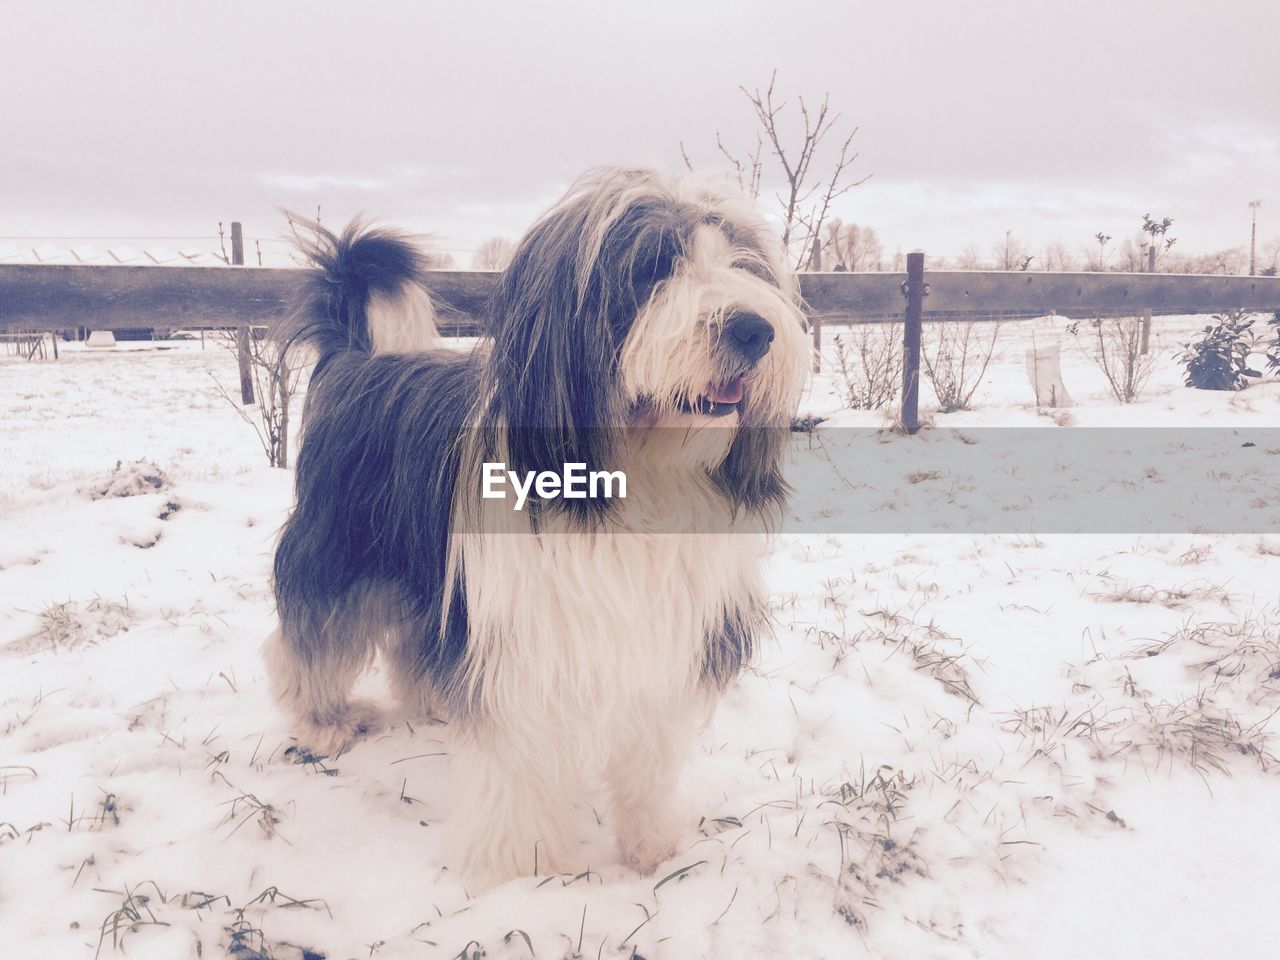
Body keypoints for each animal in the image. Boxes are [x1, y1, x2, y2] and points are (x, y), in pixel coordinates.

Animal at [267, 168, 808, 890]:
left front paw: (655, 850)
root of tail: (354, 359)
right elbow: (516, 767)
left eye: (746, 266)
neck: (636, 475)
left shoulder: (662, 640)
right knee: (311, 636)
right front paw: (521, 872)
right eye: (651, 267)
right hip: (338, 548)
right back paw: (324, 722)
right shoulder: (519, 642)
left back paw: (431, 700)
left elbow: (649, 755)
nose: (755, 330)